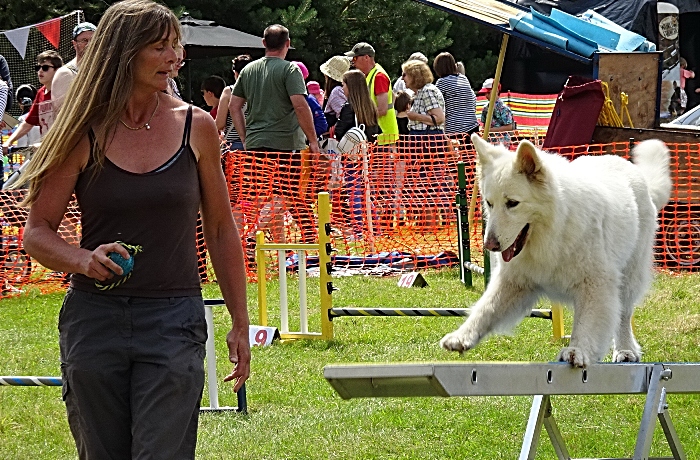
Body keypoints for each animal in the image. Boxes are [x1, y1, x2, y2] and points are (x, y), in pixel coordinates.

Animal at [442, 134, 672, 366]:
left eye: (513, 203)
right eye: (489, 203)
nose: (490, 245)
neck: (554, 228)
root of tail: (630, 168)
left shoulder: (595, 285)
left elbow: (586, 325)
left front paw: (577, 350)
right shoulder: (514, 282)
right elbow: (485, 309)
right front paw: (462, 336)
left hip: (629, 276)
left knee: (624, 314)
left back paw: (625, 350)